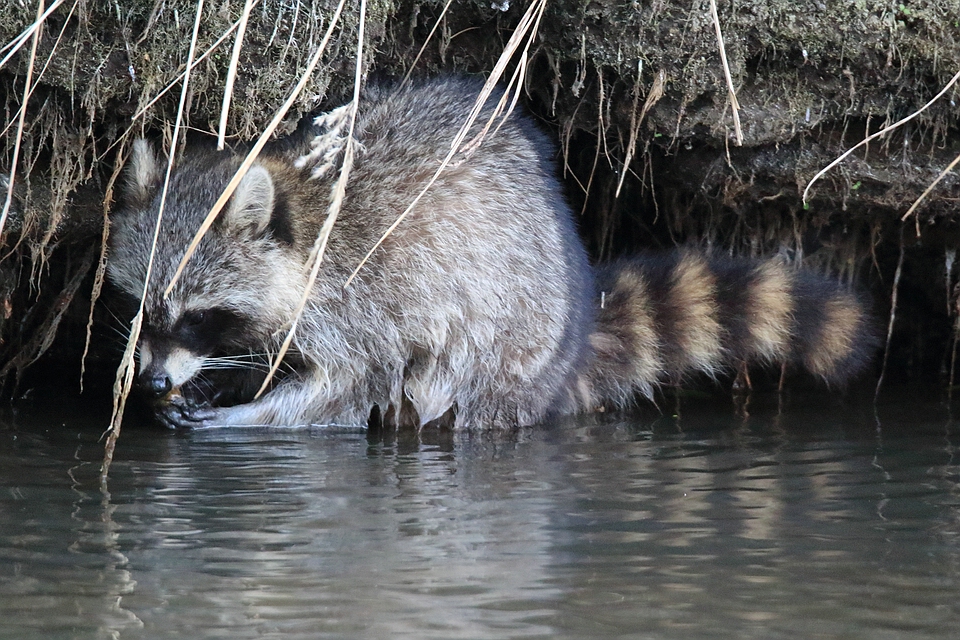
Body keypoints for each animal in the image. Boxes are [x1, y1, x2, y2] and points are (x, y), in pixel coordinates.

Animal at [107, 77, 876, 432]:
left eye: (199, 316)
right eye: (142, 306)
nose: (149, 380)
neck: (303, 222)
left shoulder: (362, 305)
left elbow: (346, 391)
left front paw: (245, 416)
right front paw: (222, 382)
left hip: (505, 354)